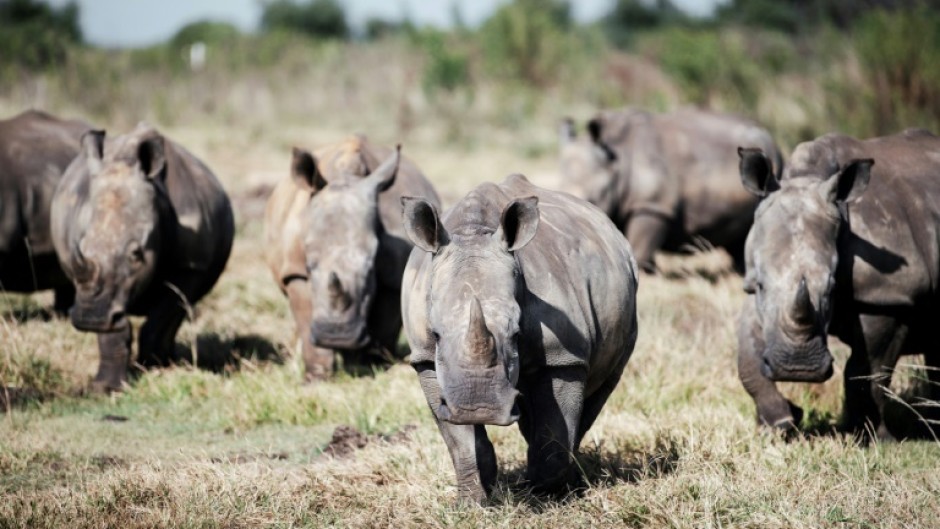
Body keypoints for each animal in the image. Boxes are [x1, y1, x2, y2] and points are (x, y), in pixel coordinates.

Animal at [51, 124, 235, 392]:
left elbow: (162, 317)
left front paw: (155, 370)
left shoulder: (191, 266)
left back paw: (167, 360)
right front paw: (104, 388)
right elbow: (113, 329)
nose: (89, 318)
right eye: (82, 247)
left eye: (136, 254)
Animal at [264, 134, 440, 378]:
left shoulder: (393, 274)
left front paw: (369, 366)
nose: (338, 335)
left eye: (370, 269)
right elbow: (305, 317)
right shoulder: (295, 270)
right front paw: (316, 376)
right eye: (309, 266)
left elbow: (384, 324)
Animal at [396, 174, 640, 504]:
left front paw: (546, 497)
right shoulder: (425, 359)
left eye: (516, 333)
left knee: (600, 389)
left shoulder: (563, 356)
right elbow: (461, 442)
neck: (473, 231)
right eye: (435, 334)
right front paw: (473, 502)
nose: (479, 408)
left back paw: (569, 482)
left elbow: (554, 431)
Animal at [740, 130, 940, 440]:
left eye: (832, 287)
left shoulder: (888, 296)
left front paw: (873, 438)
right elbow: (747, 357)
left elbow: (867, 372)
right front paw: (780, 423)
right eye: (761, 285)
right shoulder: (754, 286)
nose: (797, 369)